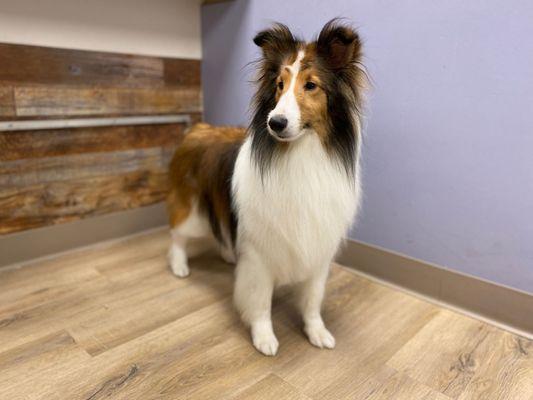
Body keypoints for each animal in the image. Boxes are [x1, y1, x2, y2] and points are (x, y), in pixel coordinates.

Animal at [166, 20, 366, 354]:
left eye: (311, 85)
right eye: (279, 84)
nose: (276, 123)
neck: (301, 155)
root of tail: (197, 128)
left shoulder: (318, 248)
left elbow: (312, 301)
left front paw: (317, 332)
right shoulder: (259, 253)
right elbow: (259, 300)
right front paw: (264, 337)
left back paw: (228, 254)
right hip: (193, 208)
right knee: (178, 236)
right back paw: (179, 266)